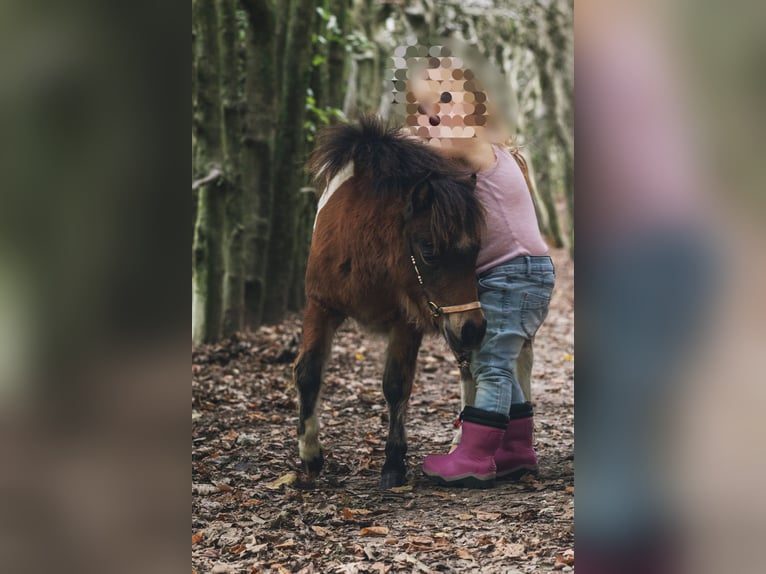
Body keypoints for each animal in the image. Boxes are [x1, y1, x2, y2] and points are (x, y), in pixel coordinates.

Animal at [294, 116, 487, 488]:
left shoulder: (406, 321)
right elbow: (308, 372)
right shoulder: (320, 305)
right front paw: (310, 456)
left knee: (467, 368)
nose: (473, 328)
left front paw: (394, 462)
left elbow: (396, 385)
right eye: (428, 251)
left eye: (476, 251)